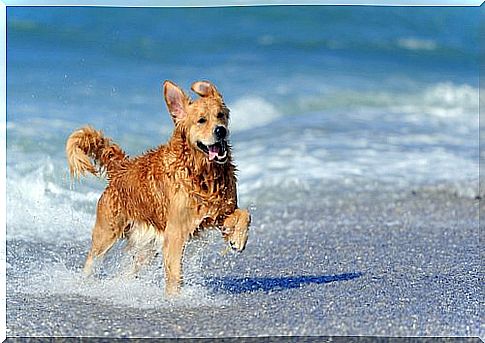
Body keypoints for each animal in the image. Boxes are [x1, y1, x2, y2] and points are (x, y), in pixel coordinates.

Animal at [65, 80, 250, 296]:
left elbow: (244, 214)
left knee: (129, 272)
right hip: (106, 234)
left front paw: (237, 239)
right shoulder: (176, 232)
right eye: (201, 120)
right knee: (91, 261)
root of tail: (121, 168)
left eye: (220, 115)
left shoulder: (218, 213)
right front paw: (174, 298)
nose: (220, 130)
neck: (201, 171)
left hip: (147, 248)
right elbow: (175, 274)